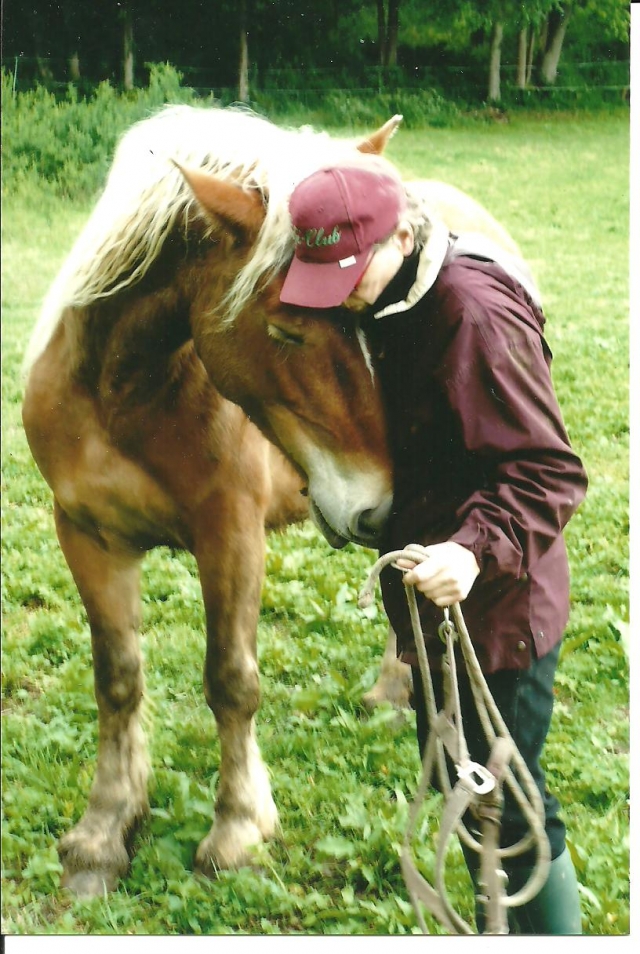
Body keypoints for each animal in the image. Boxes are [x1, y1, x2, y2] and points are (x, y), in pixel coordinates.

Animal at [21, 104, 524, 897]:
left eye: (375, 323)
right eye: (285, 329)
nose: (374, 502)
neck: (121, 394)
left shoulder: (231, 535)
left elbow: (231, 682)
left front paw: (237, 831)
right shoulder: (87, 535)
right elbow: (118, 681)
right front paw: (102, 835)